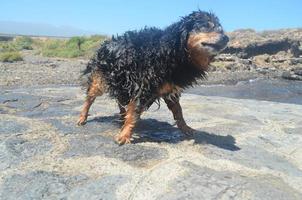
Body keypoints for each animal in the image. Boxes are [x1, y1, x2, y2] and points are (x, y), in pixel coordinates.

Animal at [78, 10, 229, 144]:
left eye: (220, 28)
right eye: (206, 26)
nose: (226, 38)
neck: (175, 51)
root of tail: (105, 44)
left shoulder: (170, 90)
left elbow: (178, 111)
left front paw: (185, 128)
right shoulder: (141, 87)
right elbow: (133, 114)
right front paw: (125, 135)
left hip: (121, 82)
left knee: (120, 99)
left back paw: (122, 115)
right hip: (101, 80)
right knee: (90, 98)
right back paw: (82, 117)